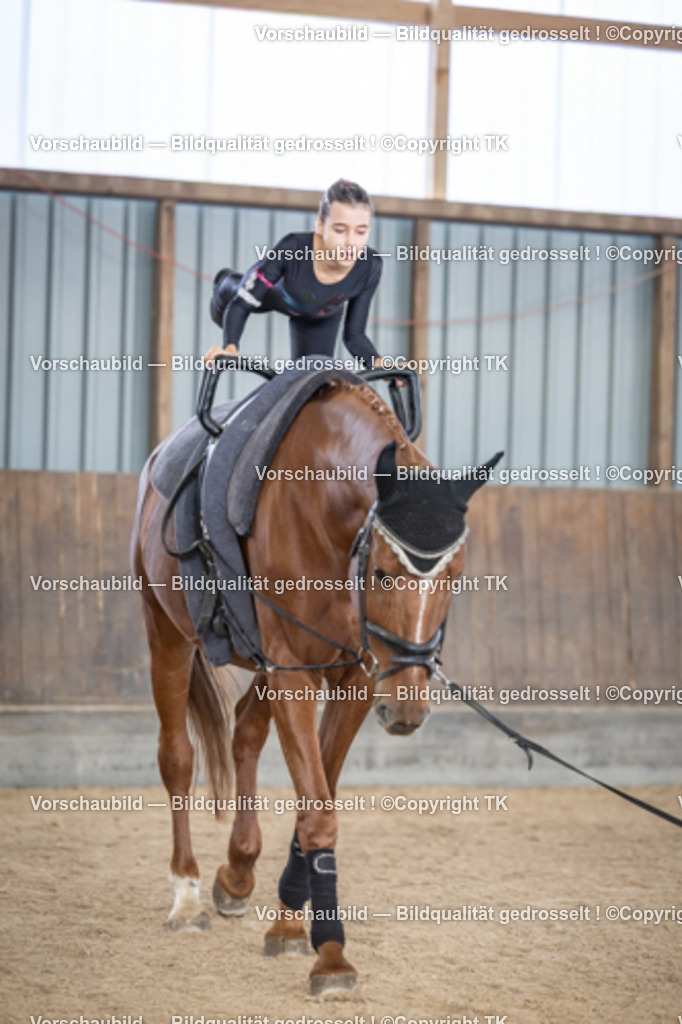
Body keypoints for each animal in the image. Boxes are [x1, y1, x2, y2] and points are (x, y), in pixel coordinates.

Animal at [131, 372, 500, 995]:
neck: (323, 507)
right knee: (177, 757)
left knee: (245, 733)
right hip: (168, 634)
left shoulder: (355, 678)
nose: (406, 713)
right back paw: (186, 895)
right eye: (383, 573)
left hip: (265, 667)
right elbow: (318, 809)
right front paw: (330, 956)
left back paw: (236, 874)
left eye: (456, 574)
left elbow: (316, 798)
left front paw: (287, 926)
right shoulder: (296, 675)